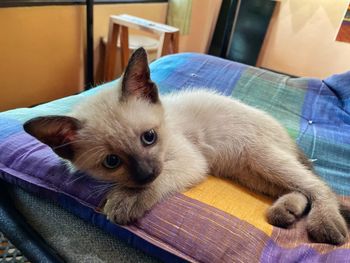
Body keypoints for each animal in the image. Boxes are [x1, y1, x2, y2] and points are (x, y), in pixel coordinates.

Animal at [23, 48, 348, 246]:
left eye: (149, 137)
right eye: (112, 162)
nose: (145, 173)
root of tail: (287, 137)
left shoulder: (190, 162)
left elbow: (161, 180)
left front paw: (126, 200)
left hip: (261, 158)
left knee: (319, 186)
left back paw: (327, 226)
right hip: (252, 173)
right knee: (300, 189)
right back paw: (286, 212)